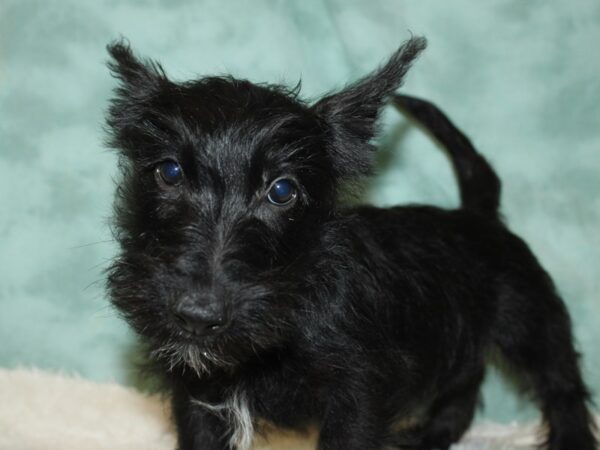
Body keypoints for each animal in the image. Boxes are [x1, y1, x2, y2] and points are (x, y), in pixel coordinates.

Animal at [104, 39, 596, 450]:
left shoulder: (357, 393)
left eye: (282, 191)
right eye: (169, 172)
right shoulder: (197, 395)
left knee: (561, 386)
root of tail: (479, 215)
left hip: (531, 321)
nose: (198, 316)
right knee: (465, 385)